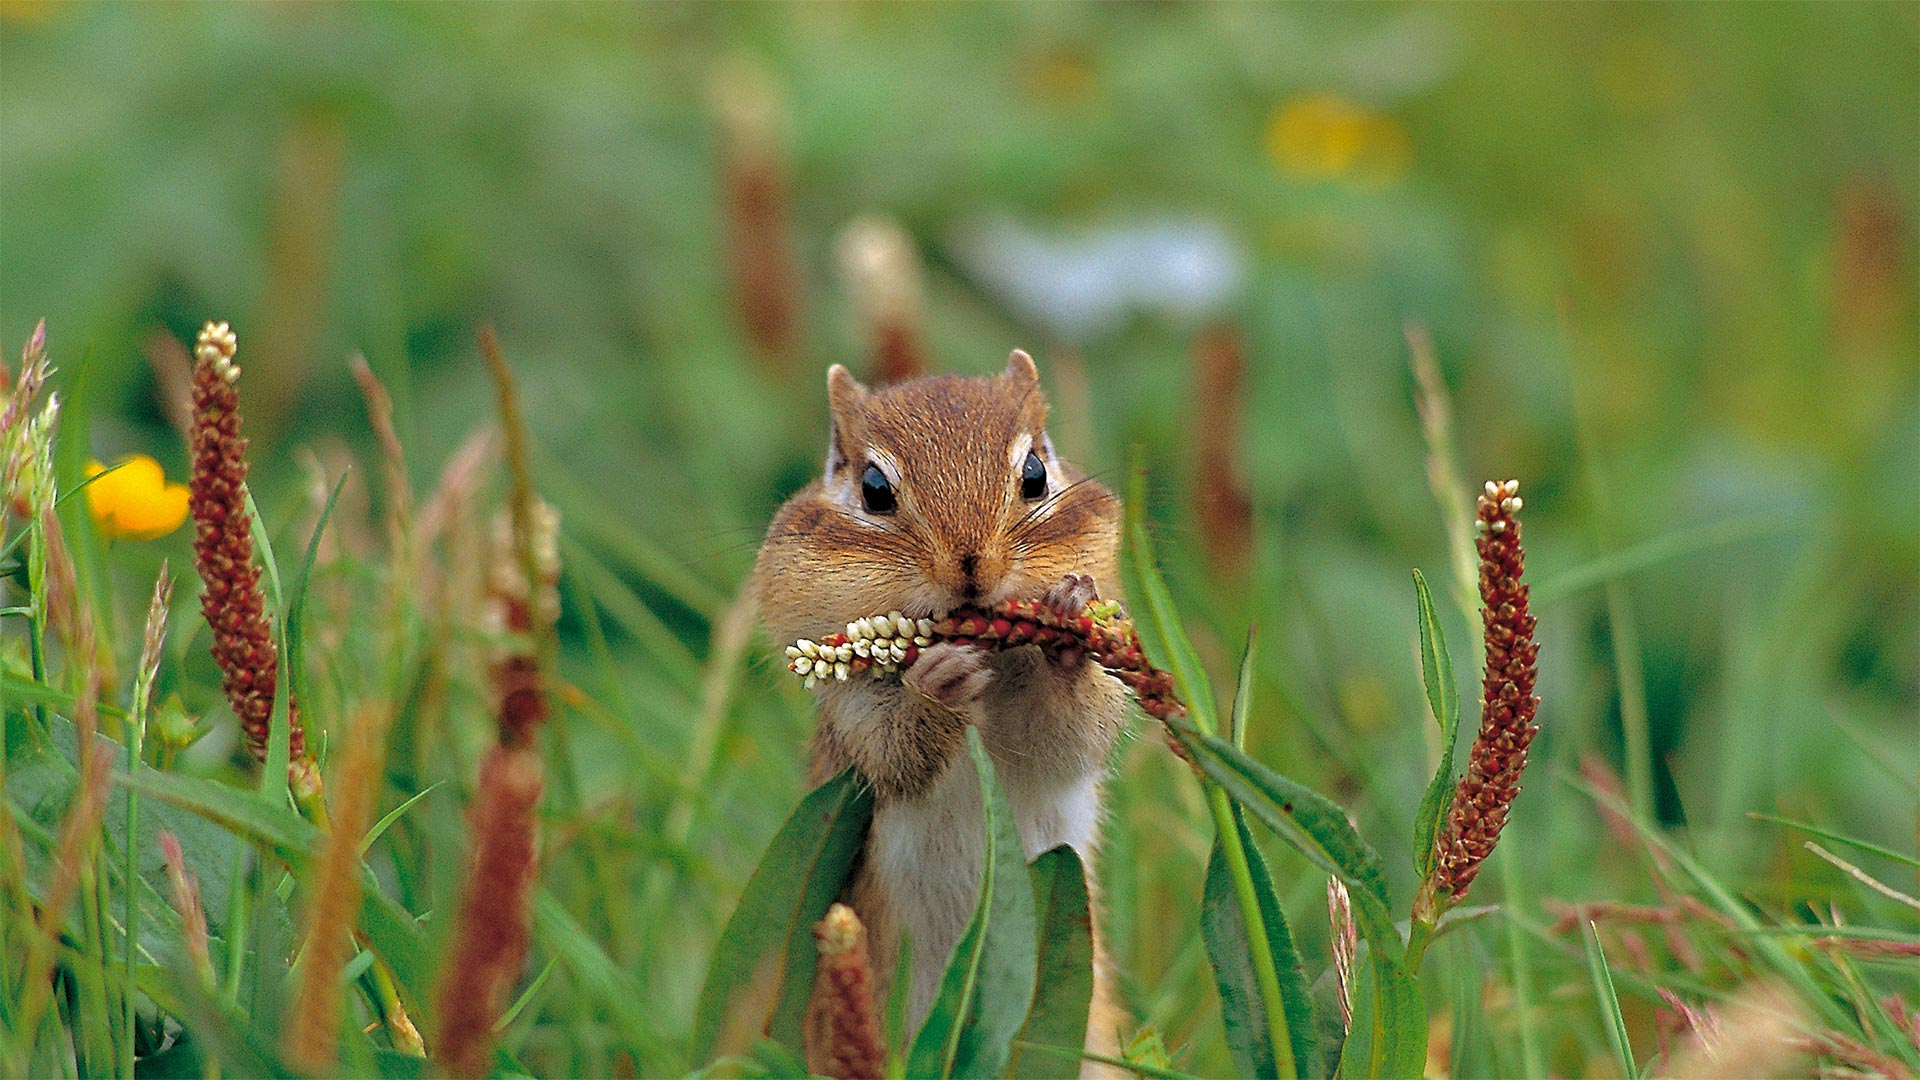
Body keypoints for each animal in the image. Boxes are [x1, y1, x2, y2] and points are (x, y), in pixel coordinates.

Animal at [753, 349, 1128, 1072]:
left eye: (1035, 474)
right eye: (874, 488)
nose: (971, 567)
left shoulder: (1060, 747)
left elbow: (1071, 735)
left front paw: (1067, 623)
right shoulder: (853, 715)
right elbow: (897, 752)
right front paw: (936, 682)